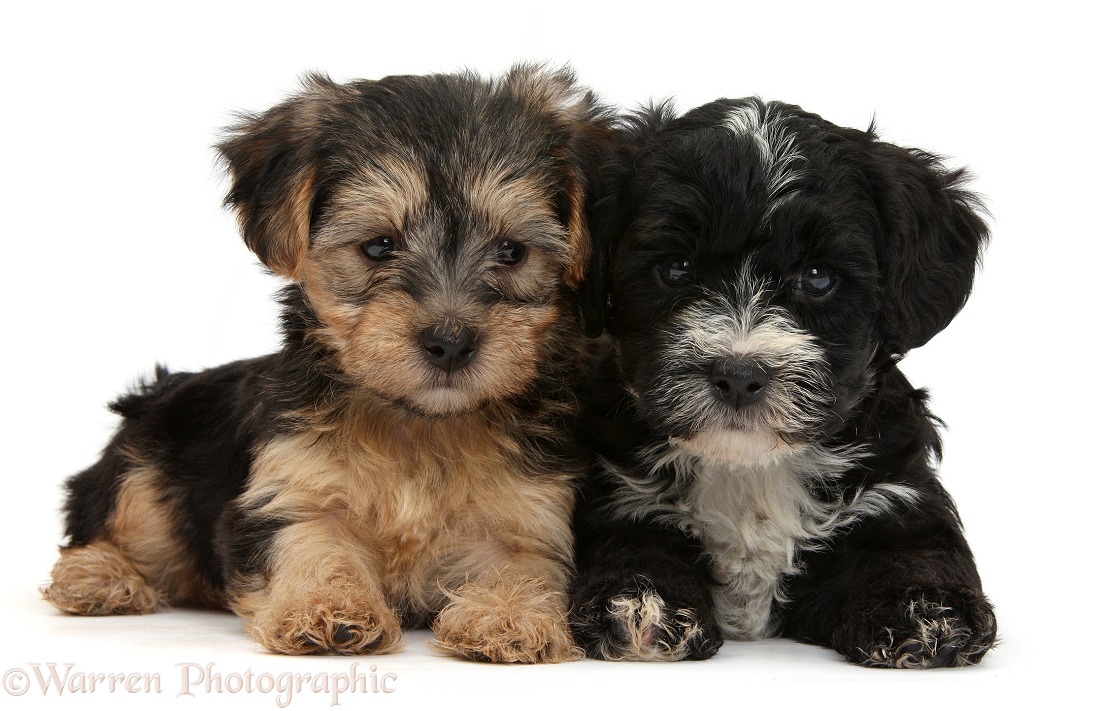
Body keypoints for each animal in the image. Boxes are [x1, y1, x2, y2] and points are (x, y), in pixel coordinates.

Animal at [40, 63, 614, 663]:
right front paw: (328, 608)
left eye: (511, 252)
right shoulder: (292, 486)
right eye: (379, 246)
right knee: (115, 519)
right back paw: (98, 577)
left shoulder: (531, 507)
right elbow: (312, 542)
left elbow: (522, 563)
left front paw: (507, 617)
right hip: (147, 464)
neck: (419, 422)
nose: (450, 341)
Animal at [575, 98, 999, 667]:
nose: (738, 375)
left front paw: (924, 608)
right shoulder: (619, 495)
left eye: (818, 277)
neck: (750, 468)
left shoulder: (895, 487)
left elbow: (916, 549)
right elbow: (629, 543)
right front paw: (640, 601)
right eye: (676, 268)